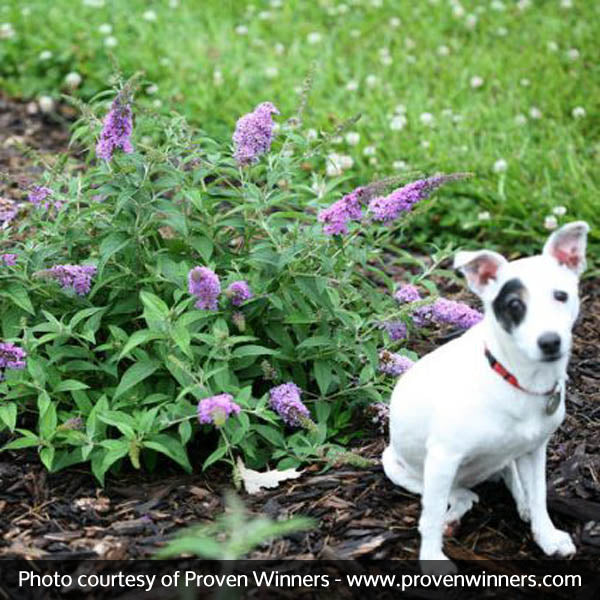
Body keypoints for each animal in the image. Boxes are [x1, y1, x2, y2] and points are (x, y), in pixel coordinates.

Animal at [382, 221, 588, 572]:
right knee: (460, 497)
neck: (518, 381)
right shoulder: (442, 457)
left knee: (505, 478)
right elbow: (430, 516)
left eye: (561, 296)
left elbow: (539, 495)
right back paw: (454, 514)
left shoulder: (535, 449)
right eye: (514, 305)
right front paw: (432, 559)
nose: (550, 342)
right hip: (400, 467)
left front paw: (546, 536)